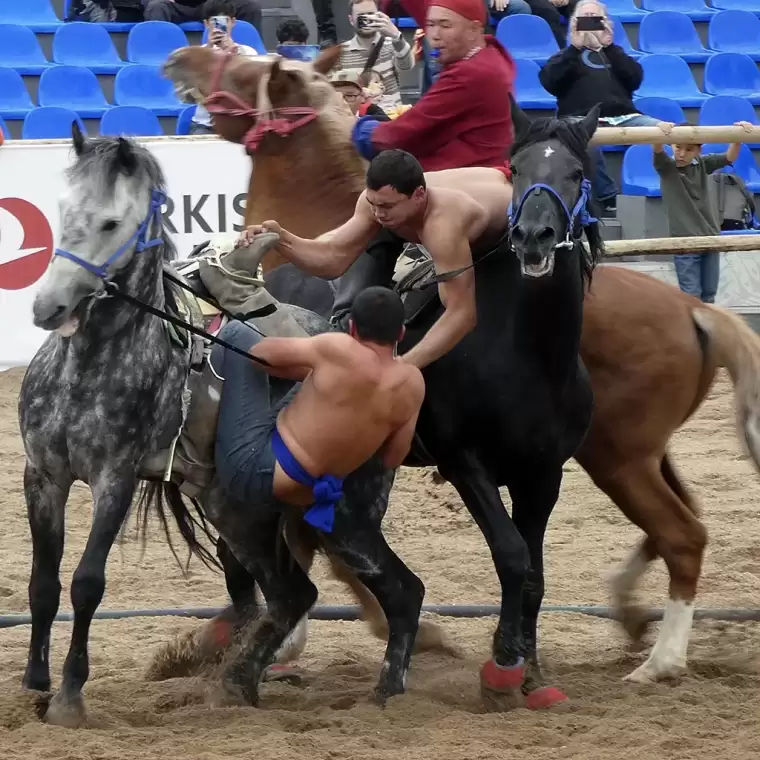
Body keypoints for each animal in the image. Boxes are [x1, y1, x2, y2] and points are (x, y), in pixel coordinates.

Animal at [163, 47, 760, 688]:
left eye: (242, 66)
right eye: (516, 168)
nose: (179, 60)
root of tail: (695, 309)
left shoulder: (479, 462)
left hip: (619, 457)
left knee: (681, 535)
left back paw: (659, 659)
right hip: (634, 456)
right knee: (684, 526)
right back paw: (633, 619)